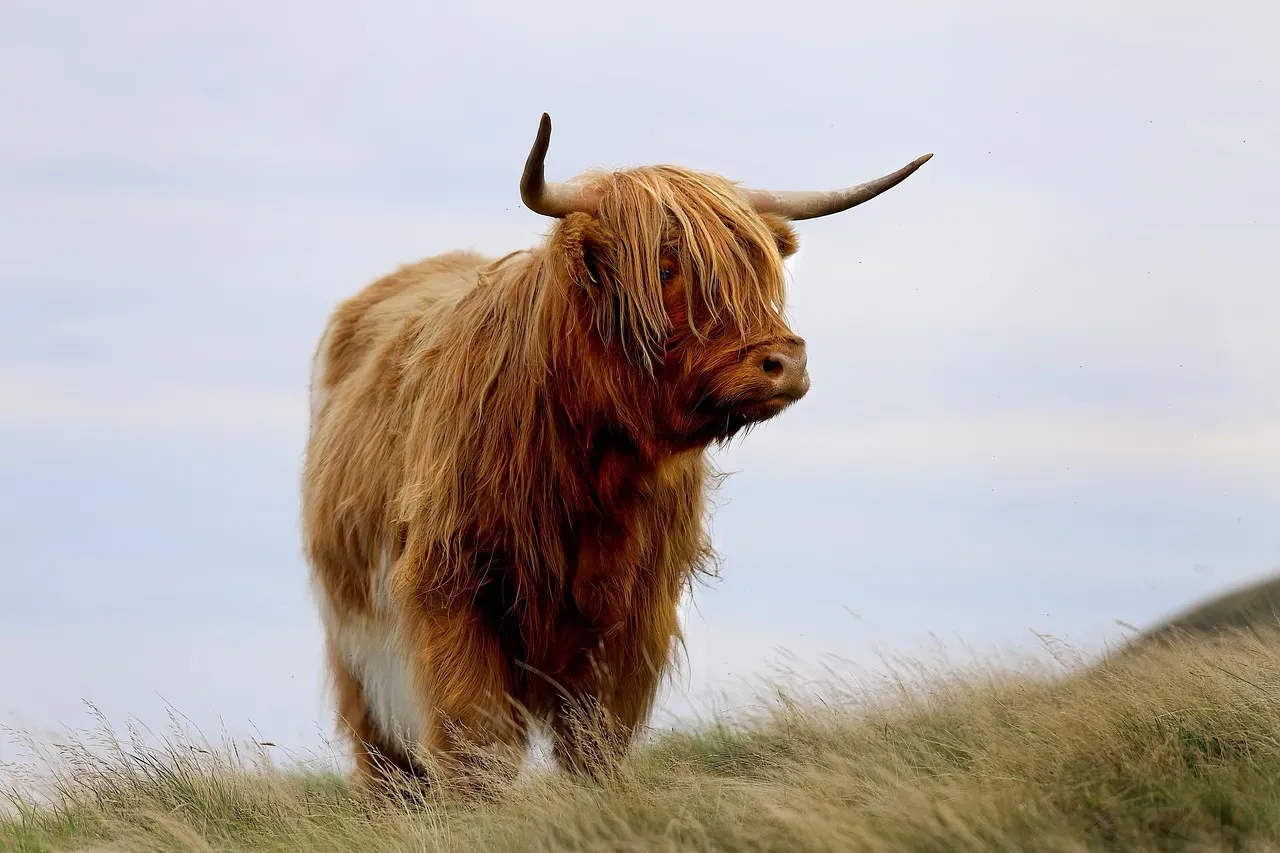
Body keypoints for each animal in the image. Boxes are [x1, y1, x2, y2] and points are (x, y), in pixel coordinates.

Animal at [301, 113, 930, 794]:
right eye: (666, 266)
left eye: (758, 269)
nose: (784, 362)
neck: (591, 464)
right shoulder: (453, 586)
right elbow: (476, 741)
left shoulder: (632, 615)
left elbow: (595, 738)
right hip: (357, 645)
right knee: (385, 759)